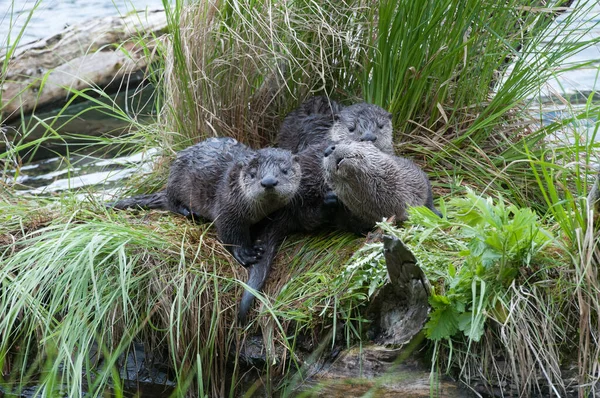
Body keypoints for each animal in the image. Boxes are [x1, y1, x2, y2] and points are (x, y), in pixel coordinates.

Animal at [109, 138, 300, 268]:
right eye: (253, 174)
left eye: (285, 170)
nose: (268, 182)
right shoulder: (226, 206)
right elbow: (229, 233)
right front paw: (246, 253)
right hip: (177, 180)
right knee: (172, 202)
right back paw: (190, 212)